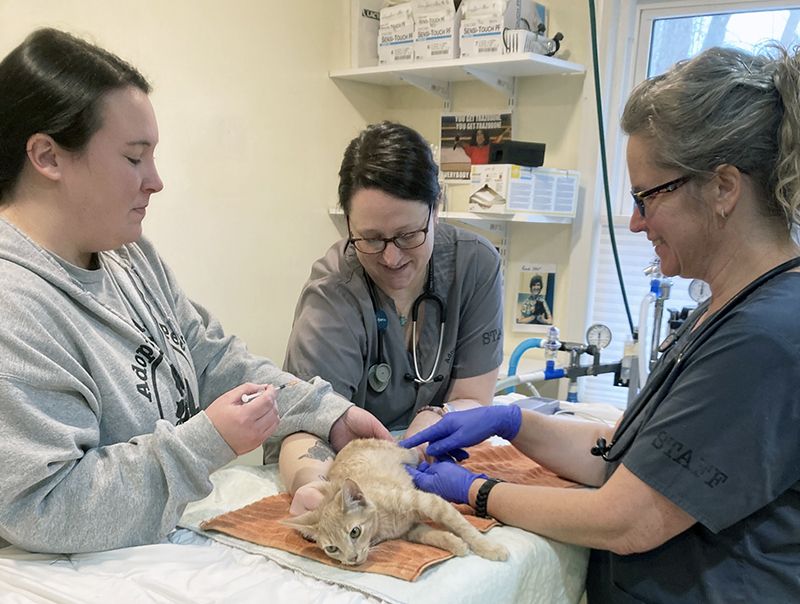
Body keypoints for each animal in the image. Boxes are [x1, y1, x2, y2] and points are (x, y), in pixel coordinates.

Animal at [282, 438, 506, 568]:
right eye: (332, 549)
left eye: (355, 532)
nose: (352, 559)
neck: (383, 524)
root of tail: (353, 441)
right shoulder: (411, 530)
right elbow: (432, 536)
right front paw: (455, 544)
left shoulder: (429, 502)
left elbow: (462, 525)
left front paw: (489, 548)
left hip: (409, 455)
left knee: (422, 452)